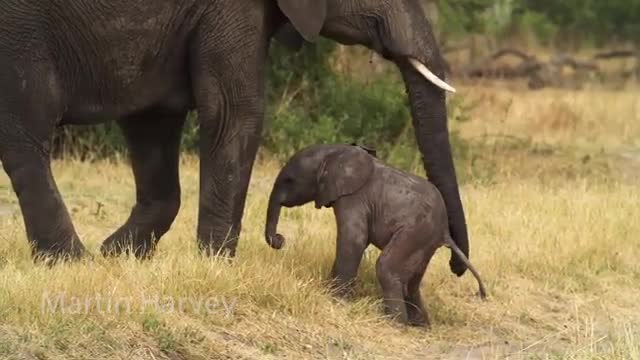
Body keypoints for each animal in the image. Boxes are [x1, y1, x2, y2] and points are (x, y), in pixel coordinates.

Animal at [0, 0, 470, 276]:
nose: (454, 267)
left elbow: (154, 120)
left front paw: (120, 254)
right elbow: (233, 113)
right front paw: (214, 268)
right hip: (17, 28)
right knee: (25, 133)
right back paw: (70, 264)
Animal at [264, 143, 484, 326]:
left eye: (289, 180)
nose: (279, 239)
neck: (336, 151)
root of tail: (444, 230)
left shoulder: (353, 198)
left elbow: (353, 241)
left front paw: (336, 301)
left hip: (415, 231)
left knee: (386, 268)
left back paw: (395, 325)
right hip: (424, 241)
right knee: (412, 282)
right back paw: (421, 327)